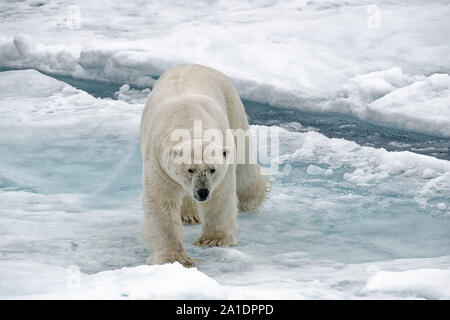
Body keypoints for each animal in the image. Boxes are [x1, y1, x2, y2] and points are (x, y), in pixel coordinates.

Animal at [141, 63, 268, 266]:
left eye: (212, 170)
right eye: (190, 169)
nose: (202, 192)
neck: (188, 122)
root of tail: (194, 64)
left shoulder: (223, 153)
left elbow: (221, 195)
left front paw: (214, 240)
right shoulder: (158, 161)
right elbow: (162, 201)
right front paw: (174, 257)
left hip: (231, 104)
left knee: (243, 160)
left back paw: (251, 199)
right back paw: (188, 214)